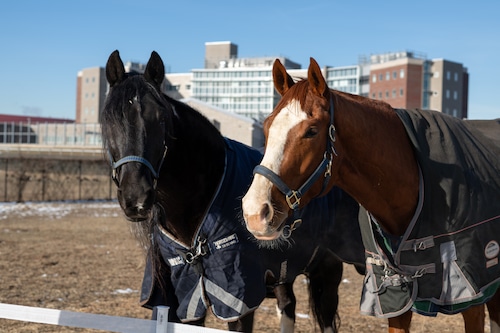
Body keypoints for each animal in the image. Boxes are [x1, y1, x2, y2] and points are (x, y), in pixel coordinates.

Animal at [99, 50, 364, 332]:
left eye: (160, 119)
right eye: (108, 121)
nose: (136, 197)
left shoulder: (238, 299)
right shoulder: (188, 296)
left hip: (326, 271)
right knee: (288, 305)